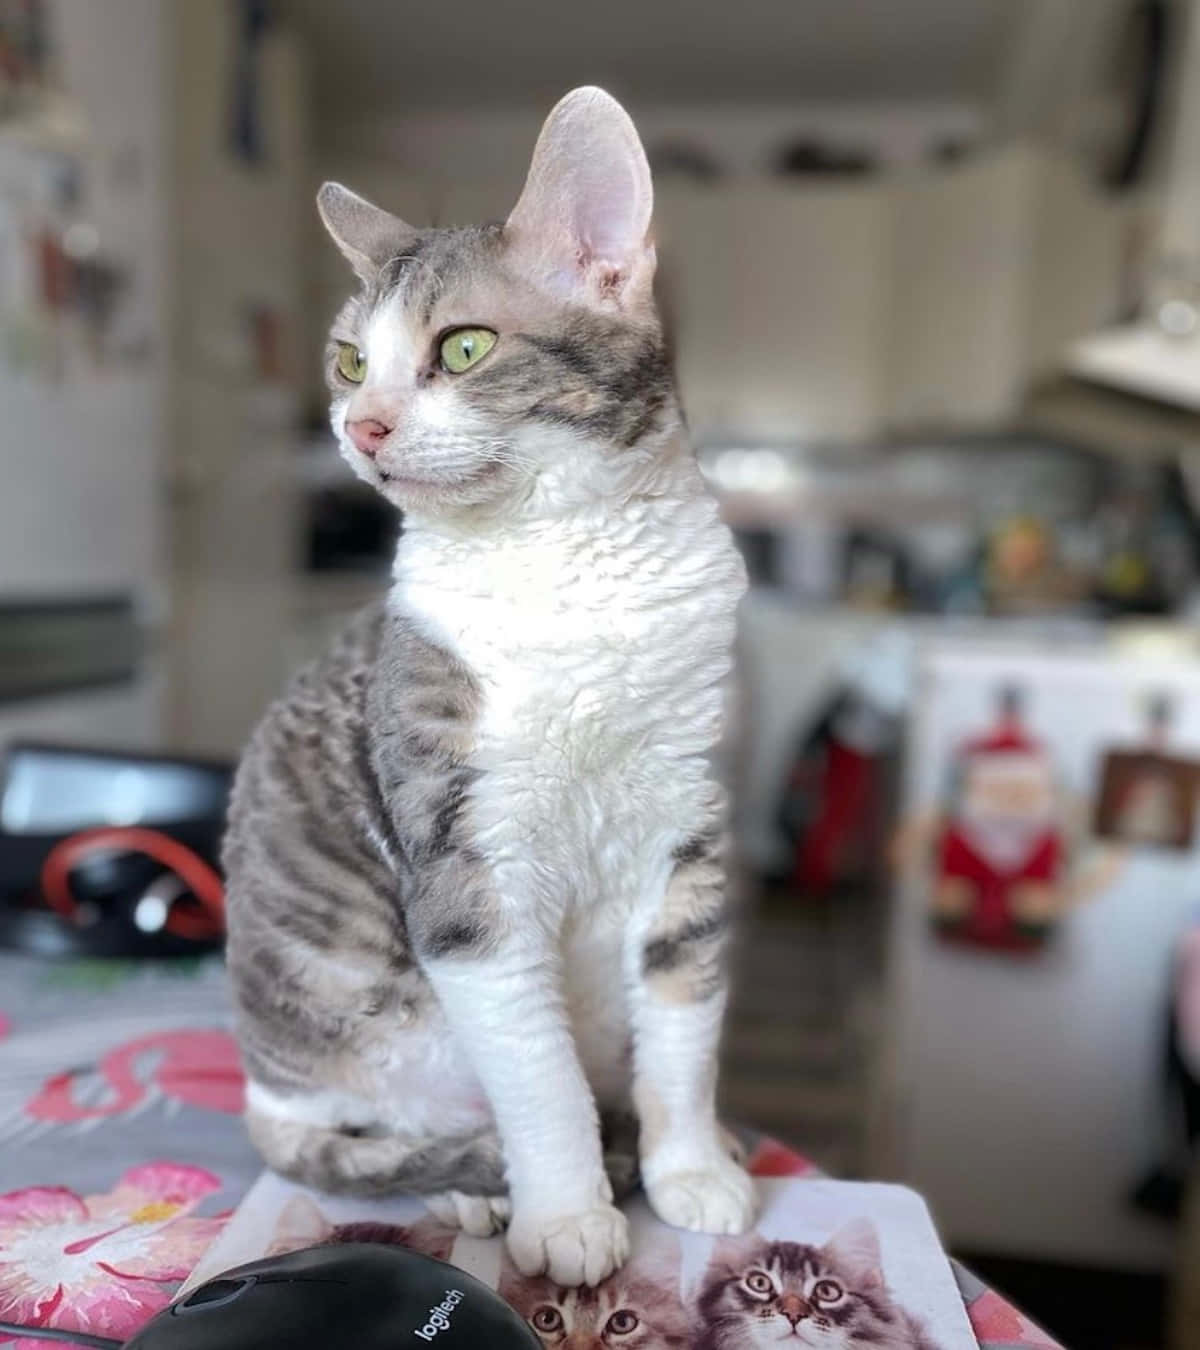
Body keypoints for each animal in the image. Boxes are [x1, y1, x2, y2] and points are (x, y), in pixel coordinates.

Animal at [220, 81, 755, 1285]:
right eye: (351, 364)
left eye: (463, 348)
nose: (361, 426)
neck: (573, 570)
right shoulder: (470, 872)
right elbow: (540, 1077)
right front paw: (568, 1217)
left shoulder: (689, 828)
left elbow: (685, 1024)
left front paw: (691, 1167)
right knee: (368, 1132)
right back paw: (478, 1188)